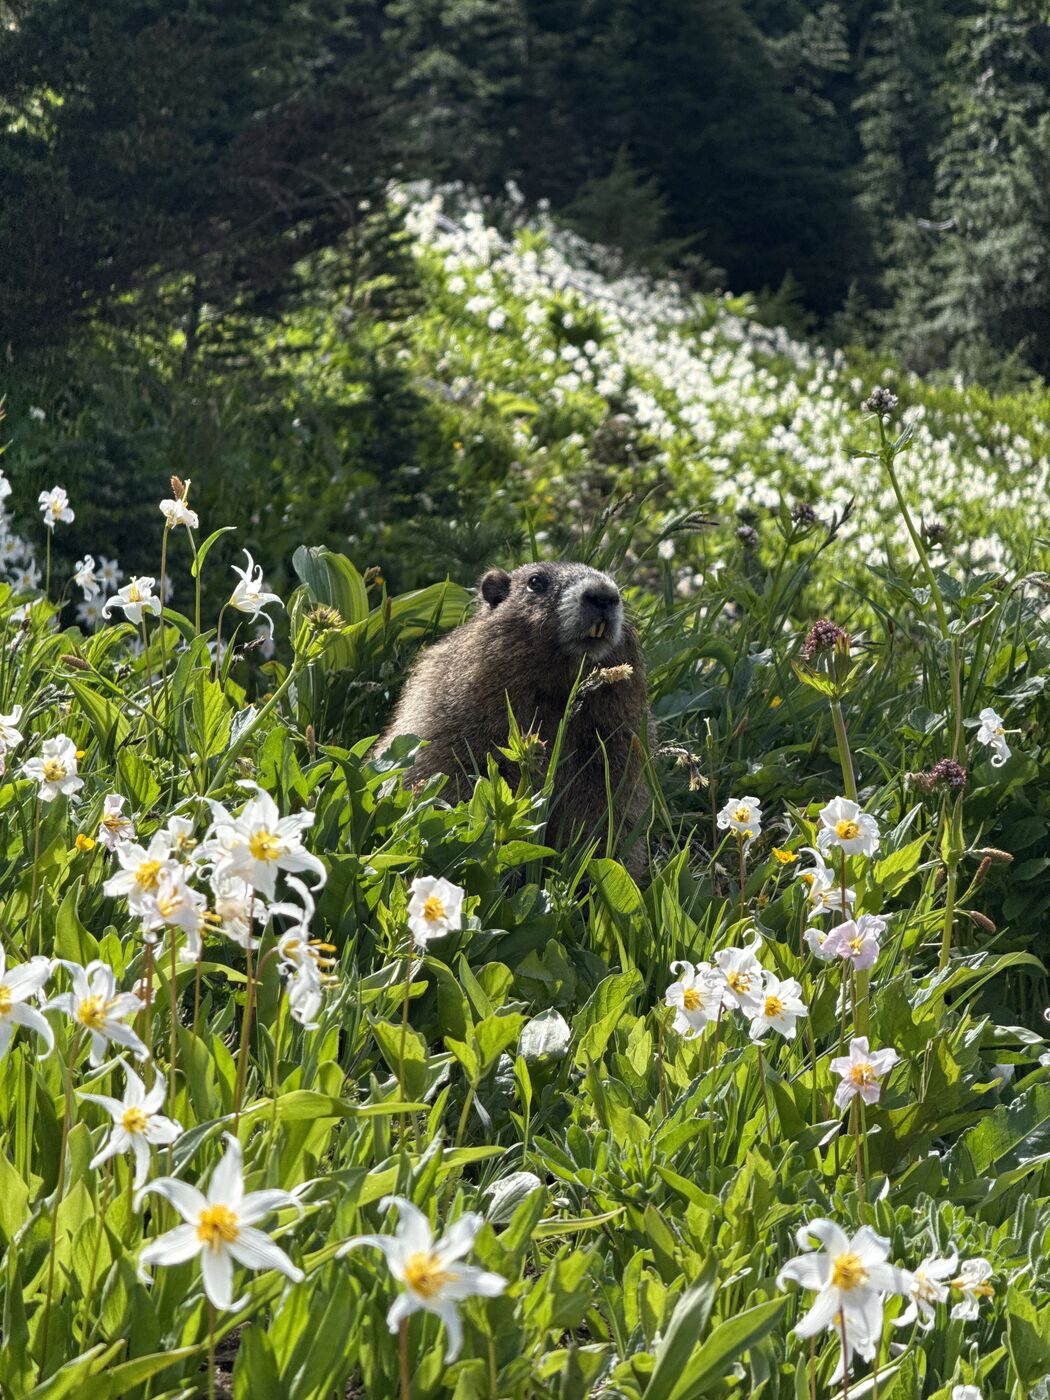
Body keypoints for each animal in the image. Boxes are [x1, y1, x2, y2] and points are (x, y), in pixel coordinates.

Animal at [376, 561, 651, 871]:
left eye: (613, 582)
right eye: (535, 582)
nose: (604, 595)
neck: (558, 693)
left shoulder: (615, 743)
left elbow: (607, 806)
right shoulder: (451, 718)